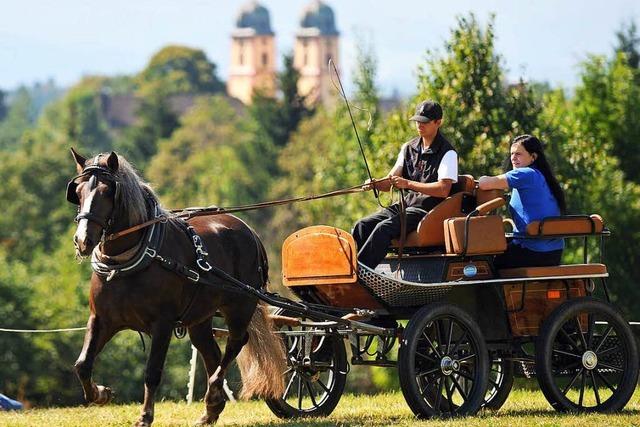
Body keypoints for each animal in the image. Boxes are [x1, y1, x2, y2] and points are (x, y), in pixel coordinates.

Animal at [66, 149, 284, 426]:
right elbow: (82, 364)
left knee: (237, 341)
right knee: (211, 351)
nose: (83, 240)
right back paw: (211, 407)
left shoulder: (163, 324)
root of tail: (249, 231)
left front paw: (145, 416)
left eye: (106, 191)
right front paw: (101, 394)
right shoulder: (101, 319)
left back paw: (214, 391)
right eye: (78, 191)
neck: (126, 263)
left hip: (240, 305)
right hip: (200, 317)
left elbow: (152, 372)